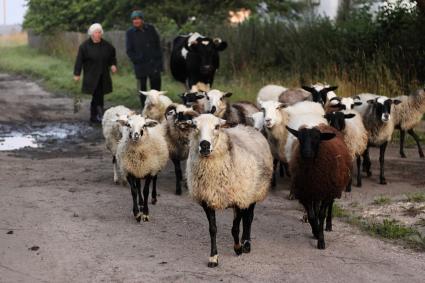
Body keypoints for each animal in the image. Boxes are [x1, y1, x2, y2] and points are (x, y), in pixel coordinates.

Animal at [187, 113, 274, 268]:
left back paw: (246, 243)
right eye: (194, 126)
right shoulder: (207, 199)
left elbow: (235, 228)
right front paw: (213, 258)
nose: (204, 145)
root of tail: (246, 126)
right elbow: (213, 229)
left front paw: (238, 248)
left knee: (249, 218)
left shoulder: (239, 198)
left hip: (253, 192)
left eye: (217, 127)